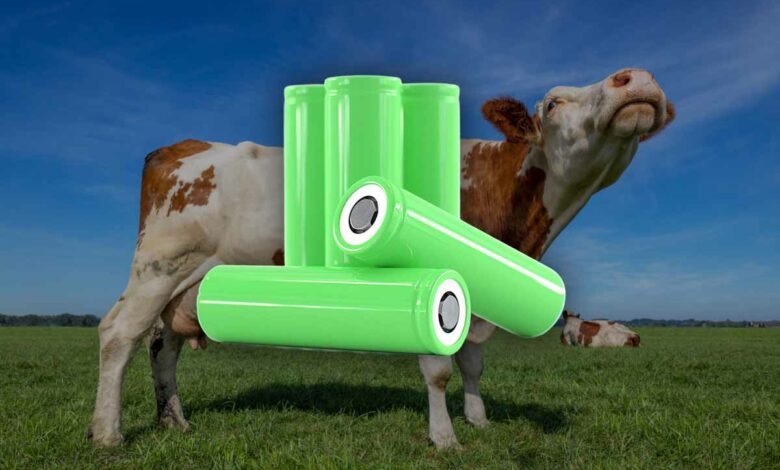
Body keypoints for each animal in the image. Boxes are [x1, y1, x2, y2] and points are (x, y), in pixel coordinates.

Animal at [87, 68, 674, 449]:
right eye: (552, 104)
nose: (633, 77)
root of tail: (181, 147)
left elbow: (473, 363)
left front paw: (479, 420)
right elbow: (438, 368)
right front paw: (444, 437)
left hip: (185, 285)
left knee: (162, 347)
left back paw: (175, 423)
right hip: (158, 266)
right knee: (119, 335)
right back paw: (108, 433)